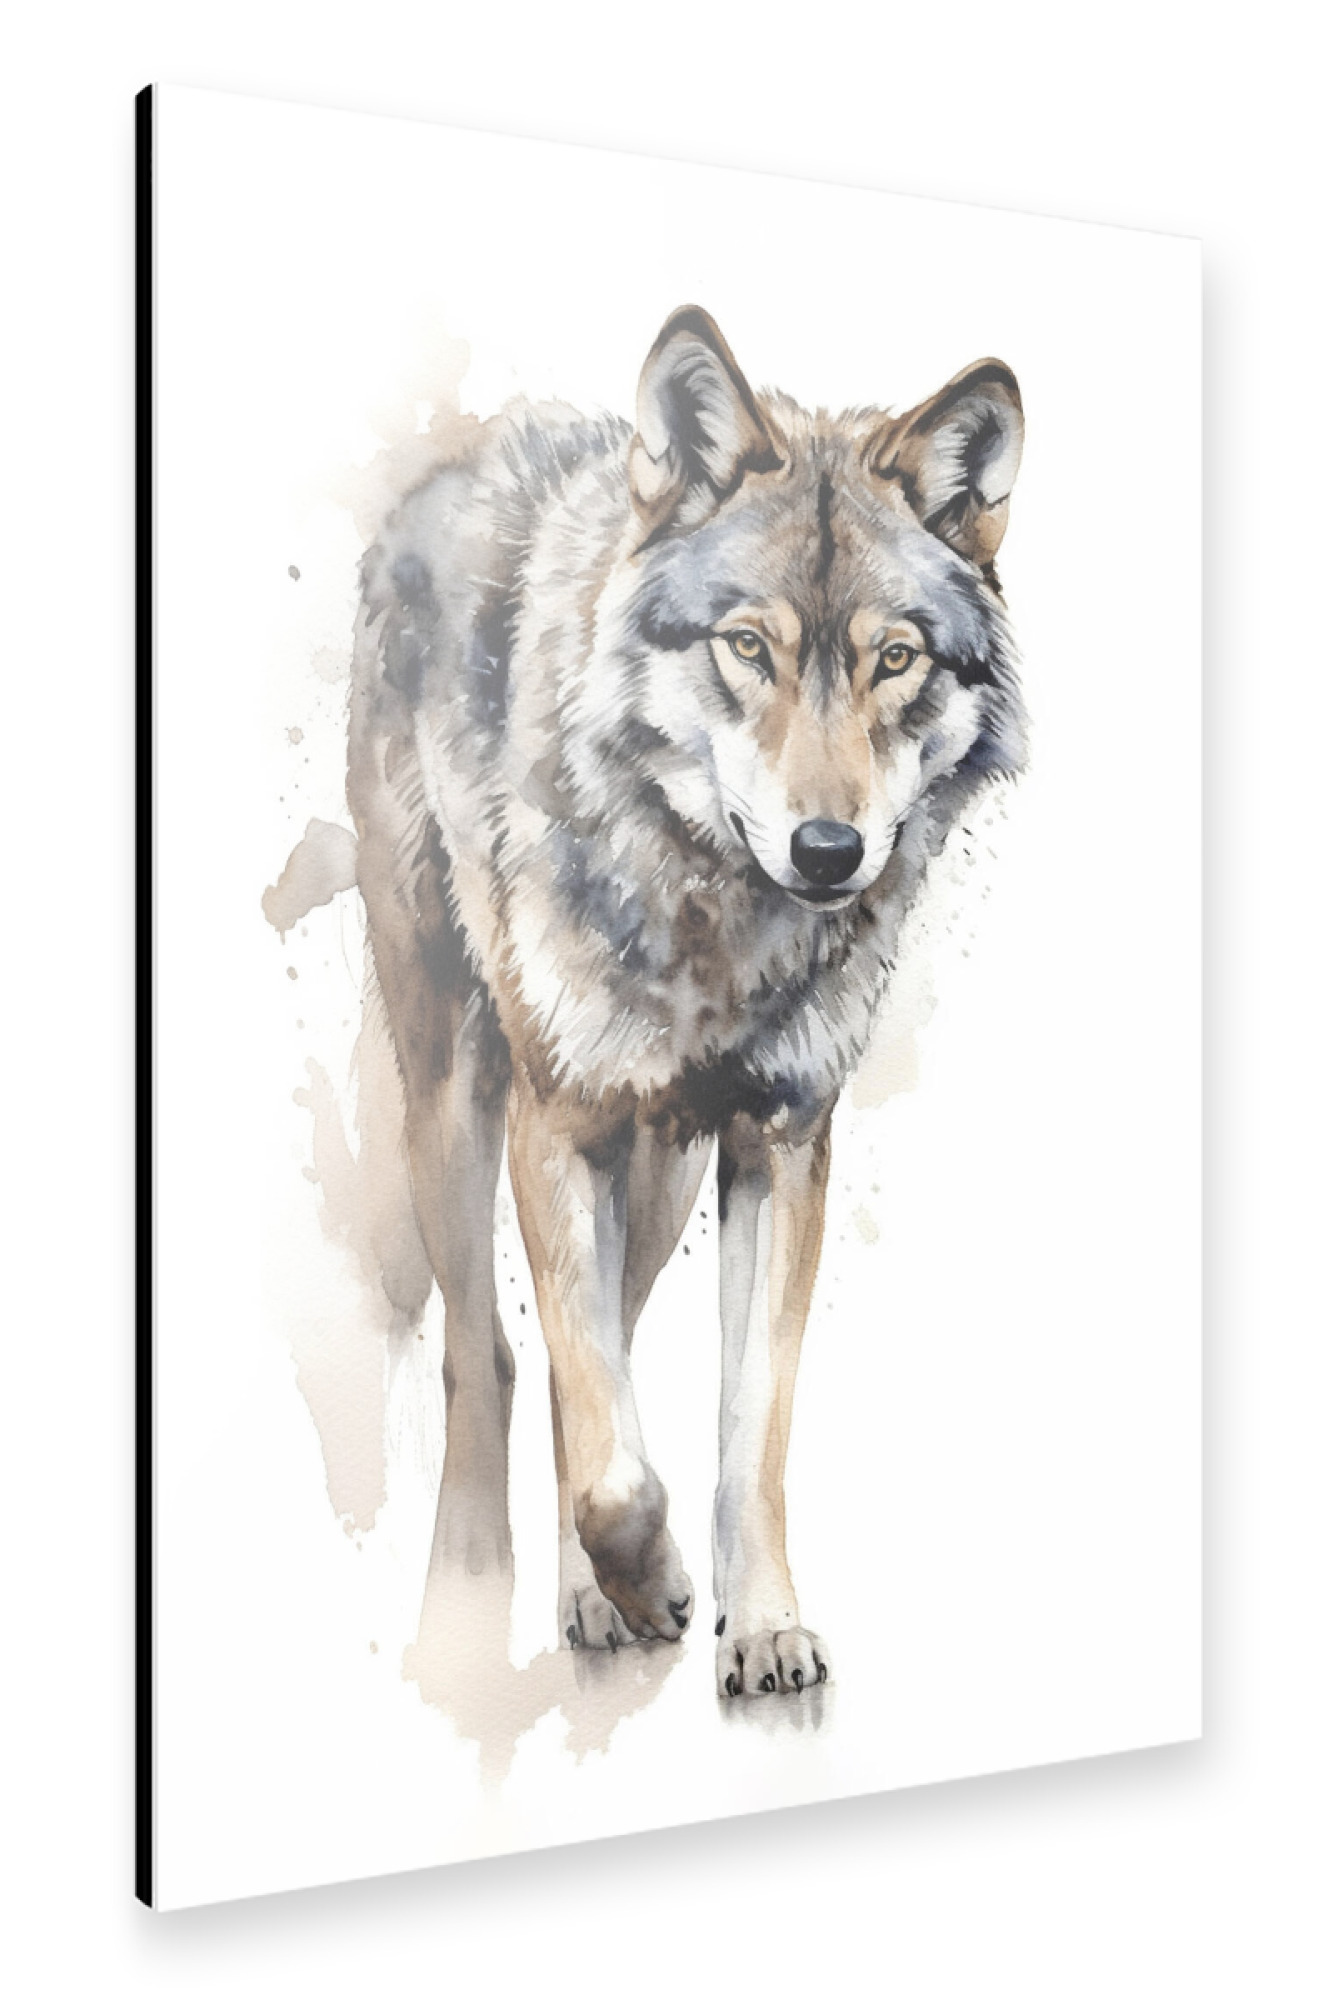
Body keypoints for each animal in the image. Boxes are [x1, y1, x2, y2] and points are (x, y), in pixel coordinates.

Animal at [347, 306, 1025, 1696]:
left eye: (893, 660)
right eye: (747, 646)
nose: (827, 849)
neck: (717, 933)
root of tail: (454, 460)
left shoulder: (780, 1140)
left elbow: (745, 1418)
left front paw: (756, 1621)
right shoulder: (557, 1125)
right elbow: (603, 1438)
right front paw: (649, 1578)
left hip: (654, 1172)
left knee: (589, 1353)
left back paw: (592, 1595)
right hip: (460, 1100)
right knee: (496, 1353)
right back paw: (487, 1604)